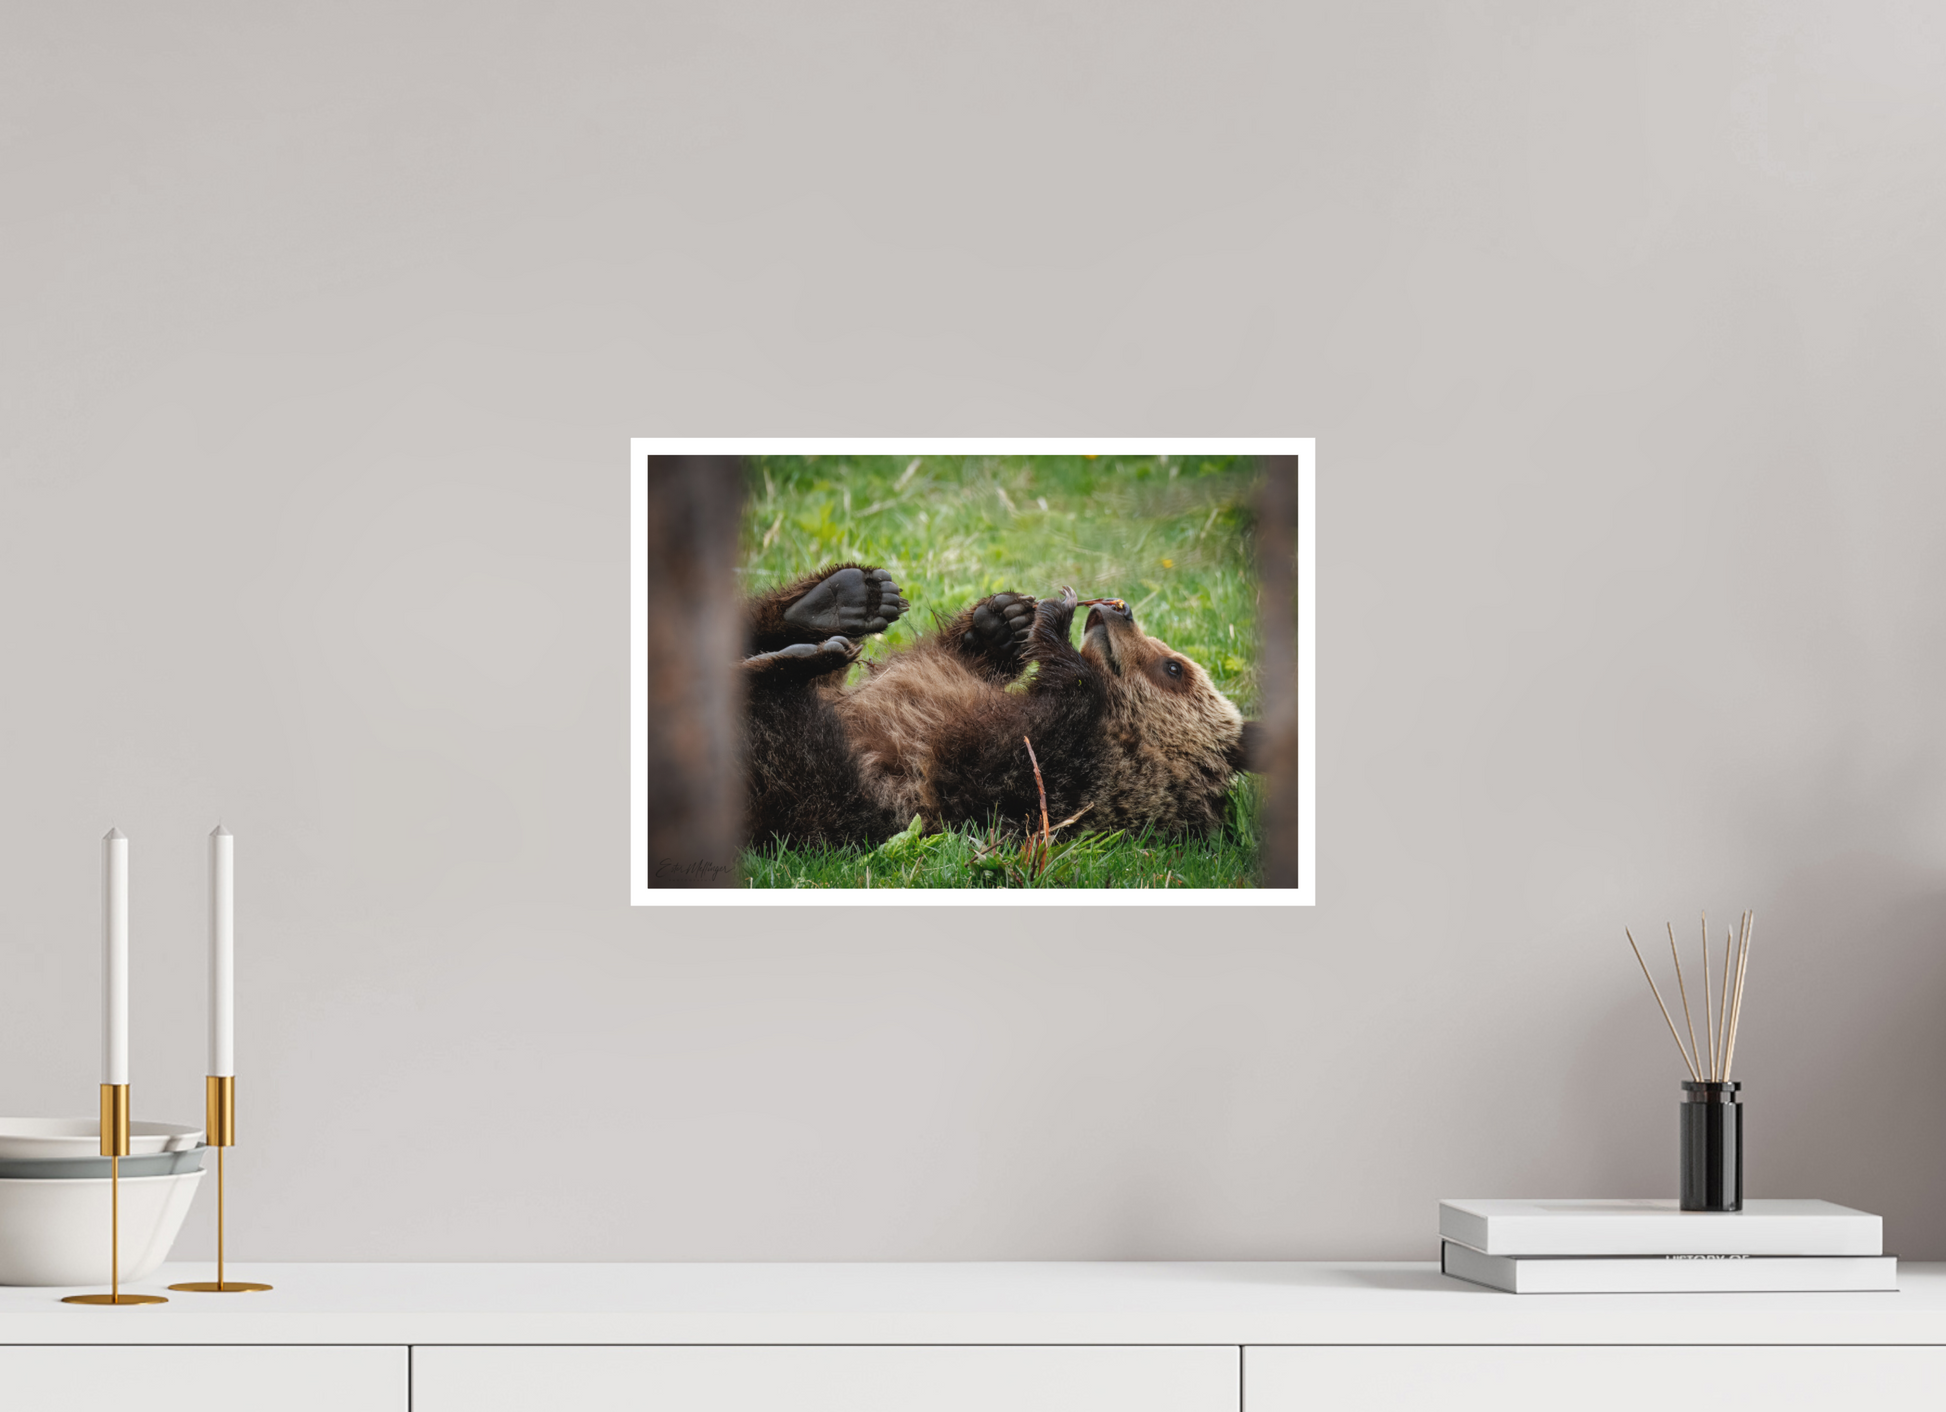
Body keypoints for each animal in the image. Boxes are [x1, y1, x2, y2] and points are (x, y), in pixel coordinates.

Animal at [740, 562, 1260, 848]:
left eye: (1174, 668)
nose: (1118, 609)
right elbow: (947, 661)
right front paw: (1002, 622)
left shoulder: (1018, 774)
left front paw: (1054, 618)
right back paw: (840, 601)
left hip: (806, 782)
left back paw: (800, 655)